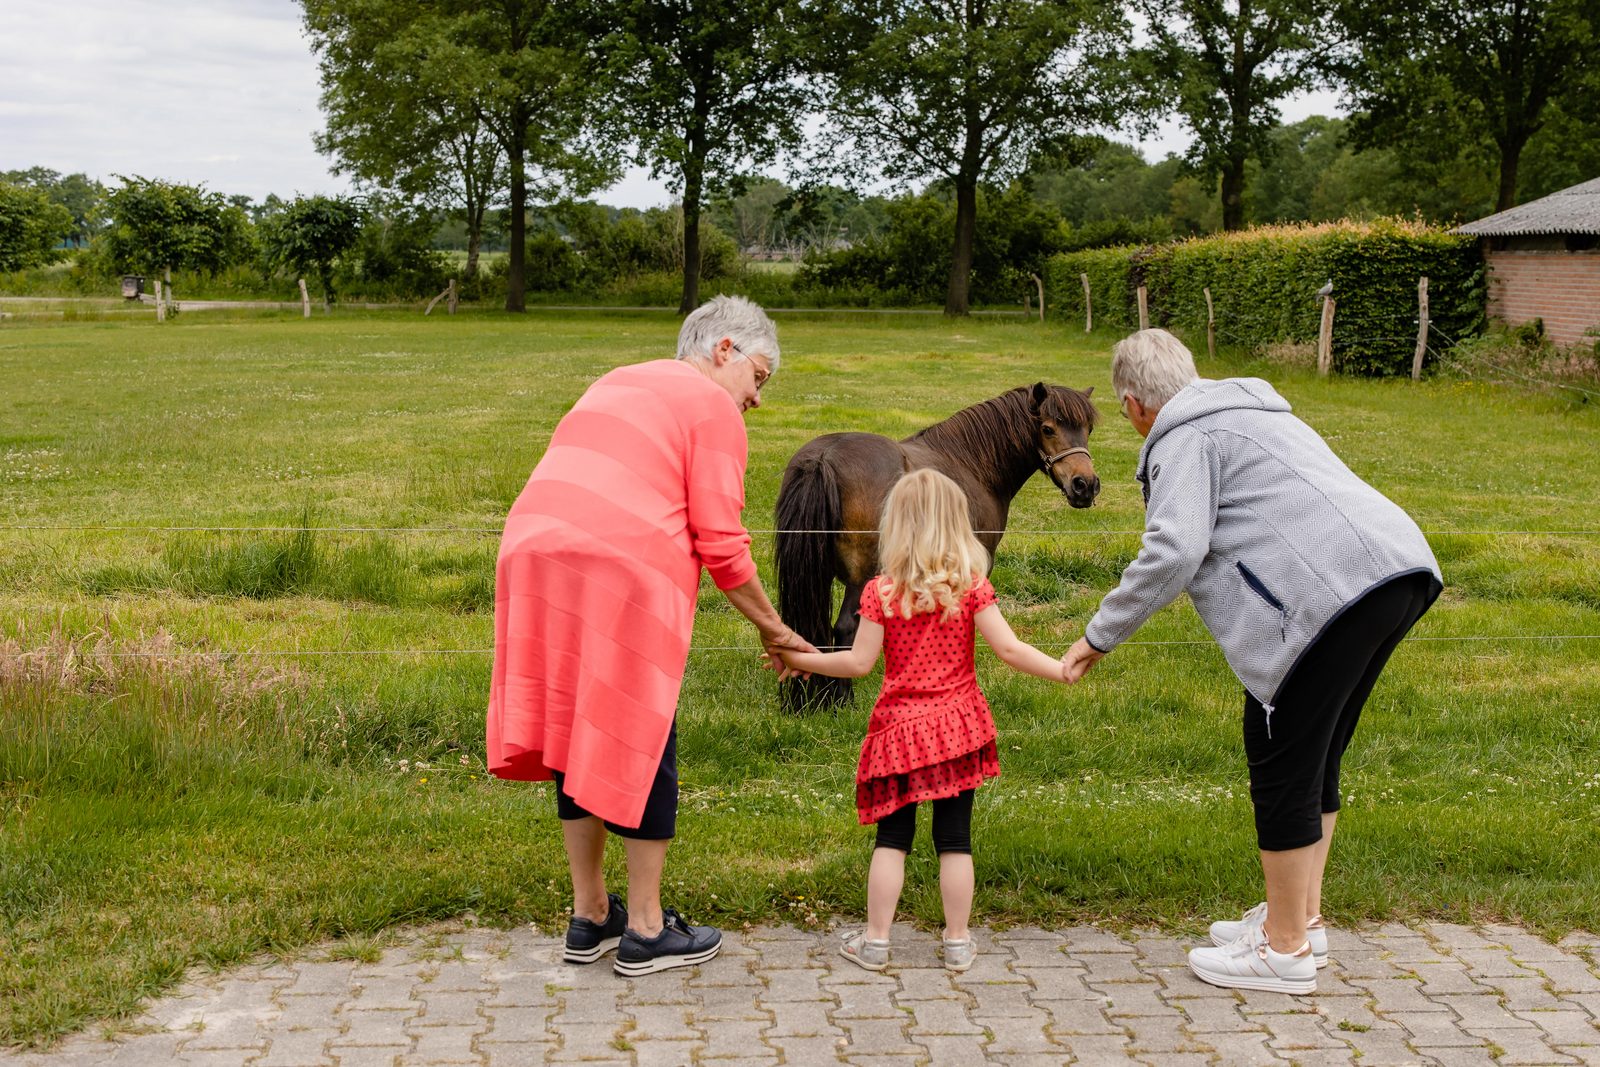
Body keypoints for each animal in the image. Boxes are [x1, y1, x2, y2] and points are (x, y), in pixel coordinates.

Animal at [774, 383, 1100, 710]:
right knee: (844, 628)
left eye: (1088, 429)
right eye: (1048, 428)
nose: (1085, 485)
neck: (971, 463)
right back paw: (843, 701)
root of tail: (823, 458)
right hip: (862, 578)